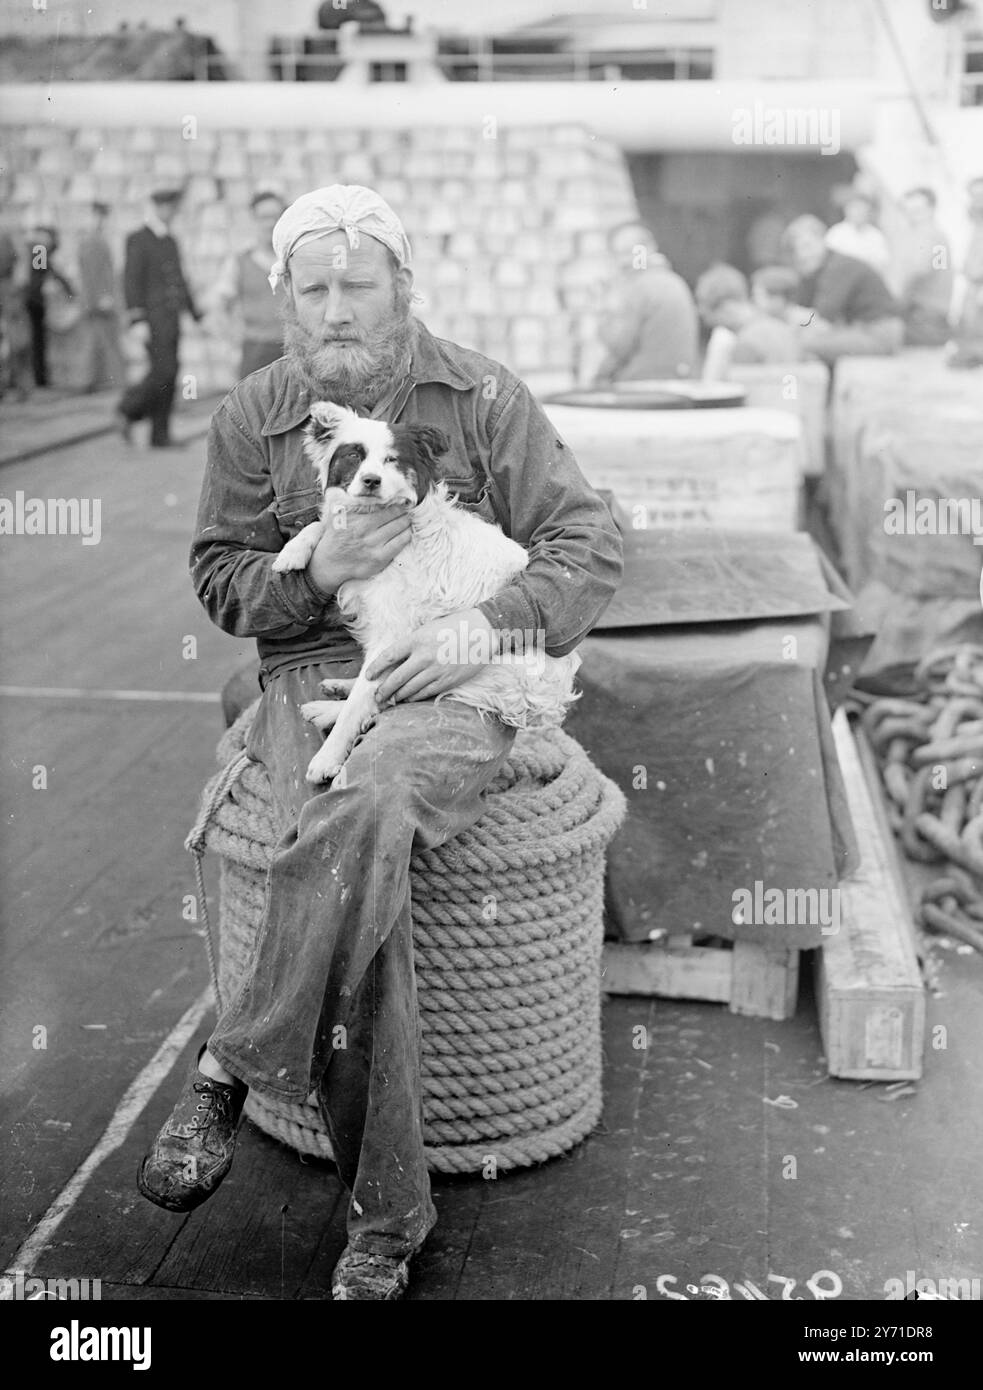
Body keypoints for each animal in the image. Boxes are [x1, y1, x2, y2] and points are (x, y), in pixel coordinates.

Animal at [271, 403, 575, 783]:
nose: (371, 481)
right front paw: (293, 552)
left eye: (392, 460)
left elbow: (360, 704)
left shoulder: (392, 634)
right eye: (354, 455)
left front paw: (328, 757)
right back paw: (339, 689)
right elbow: (320, 525)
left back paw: (332, 710)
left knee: (386, 694)